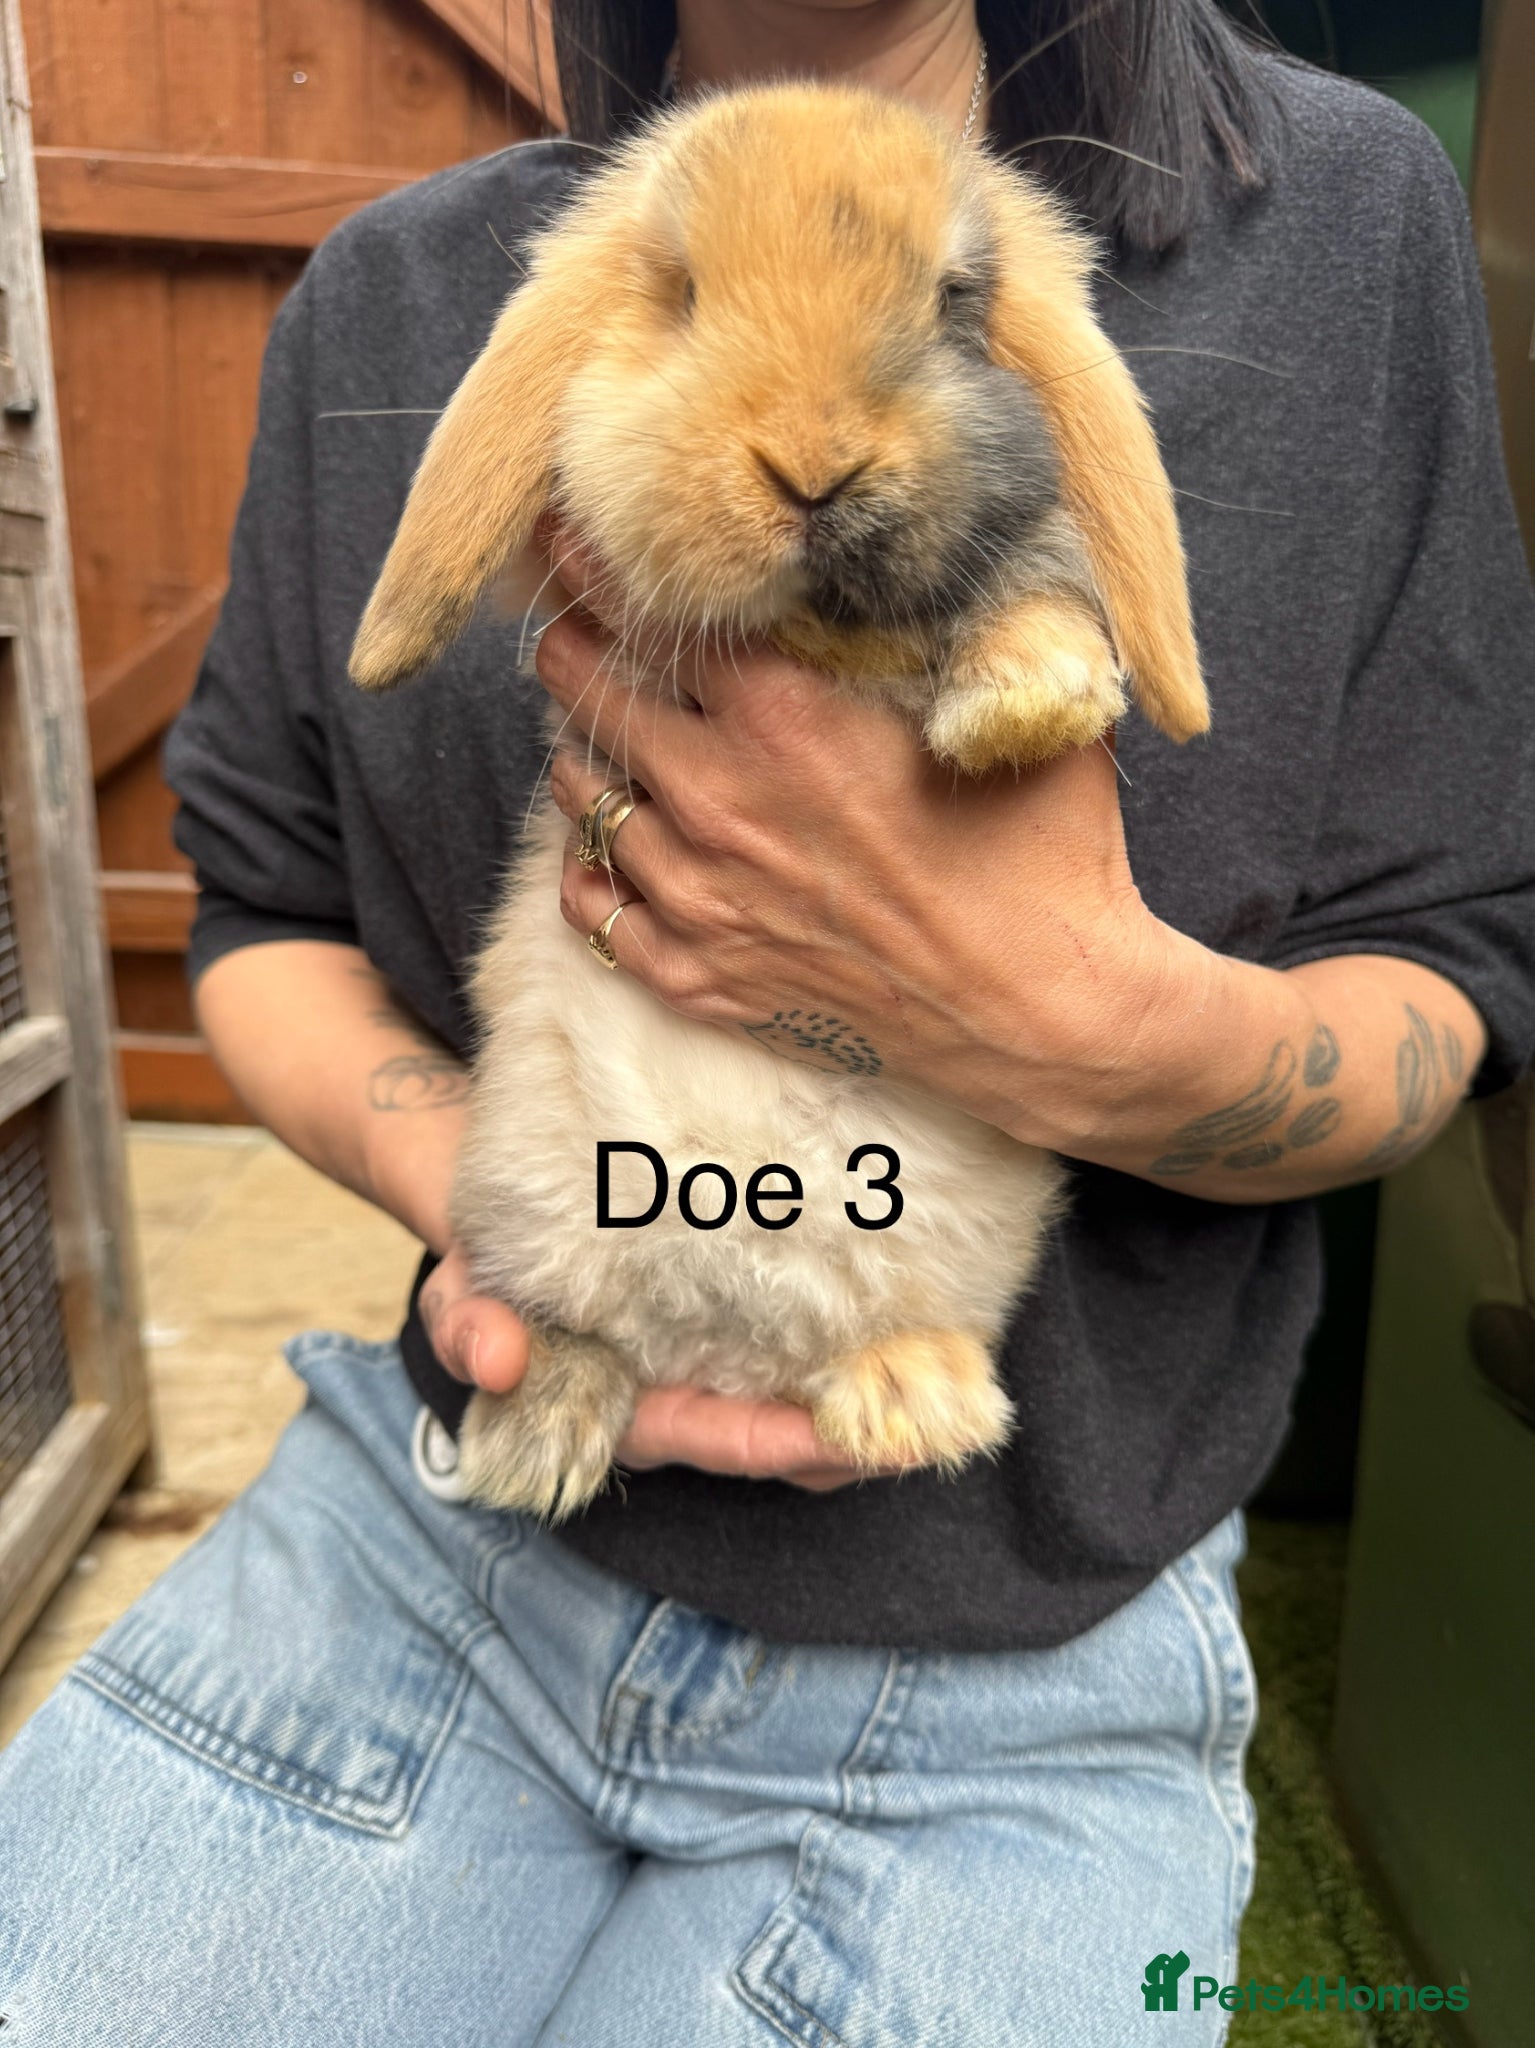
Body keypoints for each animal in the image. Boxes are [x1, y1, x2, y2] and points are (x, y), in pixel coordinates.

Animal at [349, 80, 1208, 1520]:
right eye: (680, 292)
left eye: (955, 301)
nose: (814, 464)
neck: (825, 636)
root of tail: (723, 1337)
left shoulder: (1013, 555)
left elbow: (1036, 585)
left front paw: (1020, 708)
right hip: (533, 1201)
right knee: (573, 1334)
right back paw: (535, 1443)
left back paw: (912, 1402)